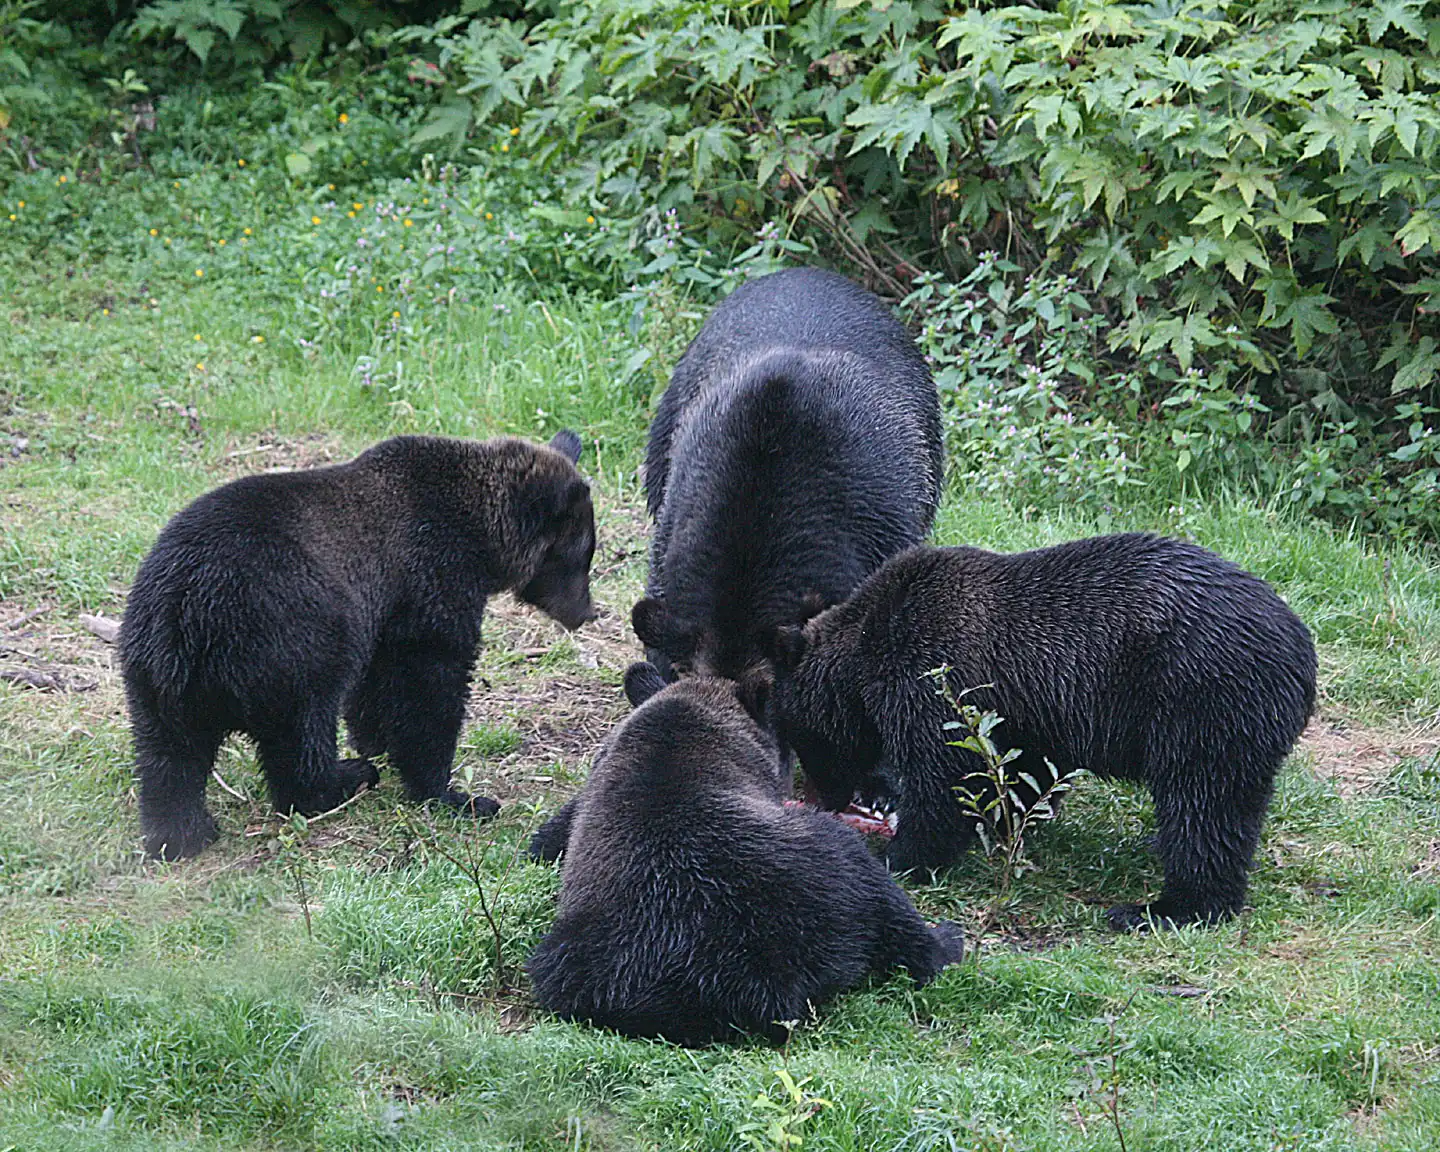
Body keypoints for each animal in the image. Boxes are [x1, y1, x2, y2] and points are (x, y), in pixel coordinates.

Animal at [120, 431, 596, 861]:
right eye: (581, 555)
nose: (586, 612)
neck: (478, 535)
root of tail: (186, 606)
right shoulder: (431, 576)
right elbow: (429, 682)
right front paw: (455, 793)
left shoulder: (382, 610)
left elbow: (378, 682)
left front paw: (376, 741)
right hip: (285, 636)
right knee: (300, 729)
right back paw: (343, 780)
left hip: (155, 668)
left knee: (169, 754)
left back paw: (181, 834)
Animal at [762, 533, 1318, 931]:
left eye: (804, 741)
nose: (830, 798)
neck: (867, 650)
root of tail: (1299, 647)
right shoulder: (1028, 711)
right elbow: (1021, 773)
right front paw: (1006, 824)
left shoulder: (939, 675)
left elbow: (945, 774)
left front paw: (902, 855)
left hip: (1200, 700)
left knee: (1204, 804)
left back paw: (1162, 908)